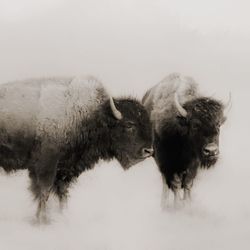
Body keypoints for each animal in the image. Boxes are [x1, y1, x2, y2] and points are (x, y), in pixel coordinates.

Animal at [0, 75, 153, 222]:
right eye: (129, 124)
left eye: (147, 123)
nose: (148, 151)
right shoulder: (46, 165)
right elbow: (44, 191)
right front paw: (43, 219)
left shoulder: (66, 169)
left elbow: (62, 193)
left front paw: (63, 215)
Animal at [143, 73, 230, 208]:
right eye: (195, 125)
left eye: (218, 125)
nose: (211, 151)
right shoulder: (167, 161)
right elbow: (175, 184)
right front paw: (178, 206)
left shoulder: (193, 163)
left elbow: (188, 183)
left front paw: (188, 205)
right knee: (165, 183)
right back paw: (164, 203)